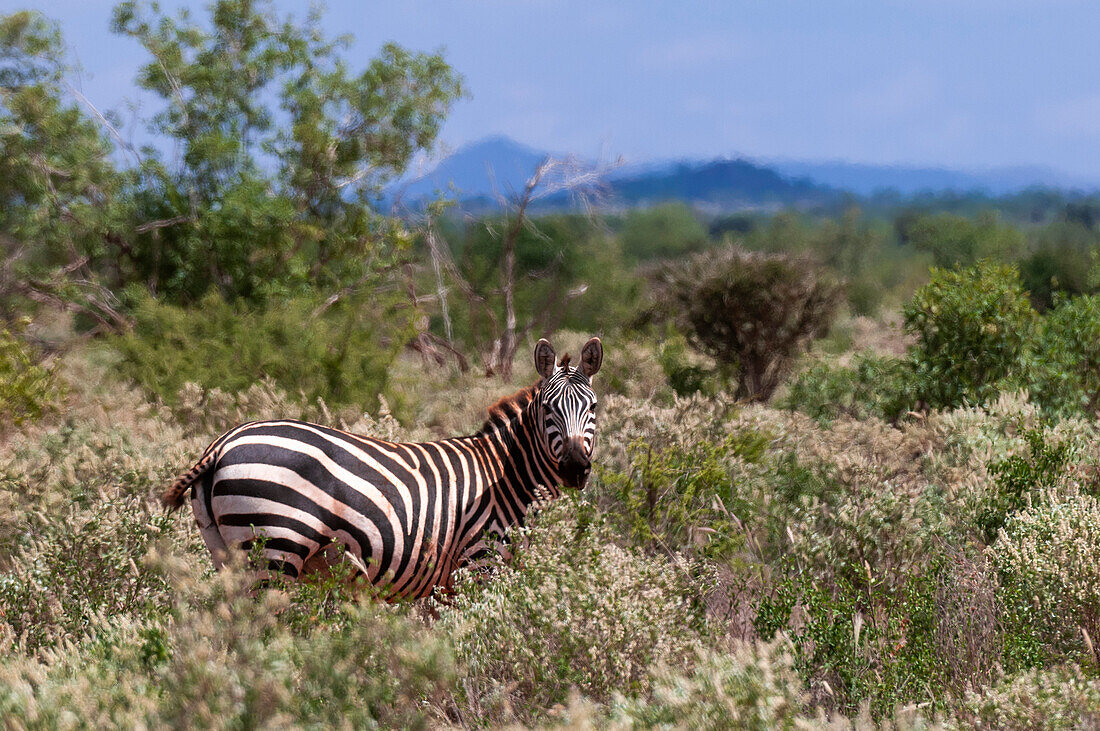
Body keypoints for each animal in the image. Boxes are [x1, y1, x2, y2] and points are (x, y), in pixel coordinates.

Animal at [160, 336, 602, 597]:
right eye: (548, 409)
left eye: (593, 407)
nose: (576, 469)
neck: (506, 475)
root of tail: (222, 443)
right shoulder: (480, 561)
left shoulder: (436, 587)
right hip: (276, 549)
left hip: (227, 553)